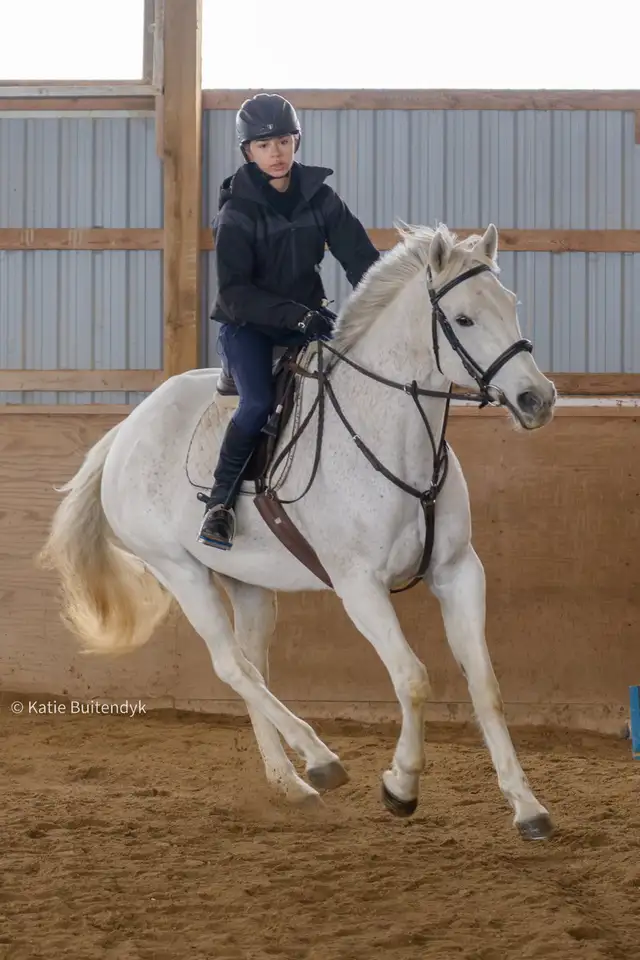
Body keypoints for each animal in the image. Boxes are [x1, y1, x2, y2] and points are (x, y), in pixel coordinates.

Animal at [39, 222, 557, 840]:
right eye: (462, 319)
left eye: (510, 304)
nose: (537, 399)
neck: (391, 438)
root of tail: (126, 430)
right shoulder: (359, 586)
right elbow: (412, 678)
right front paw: (401, 786)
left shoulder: (458, 572)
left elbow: (485, 685)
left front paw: (528, 807)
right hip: (179, 570)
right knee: (231, 665)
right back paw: (321, 759)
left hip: (247, 583)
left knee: (253, 669)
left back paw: (292, 783)